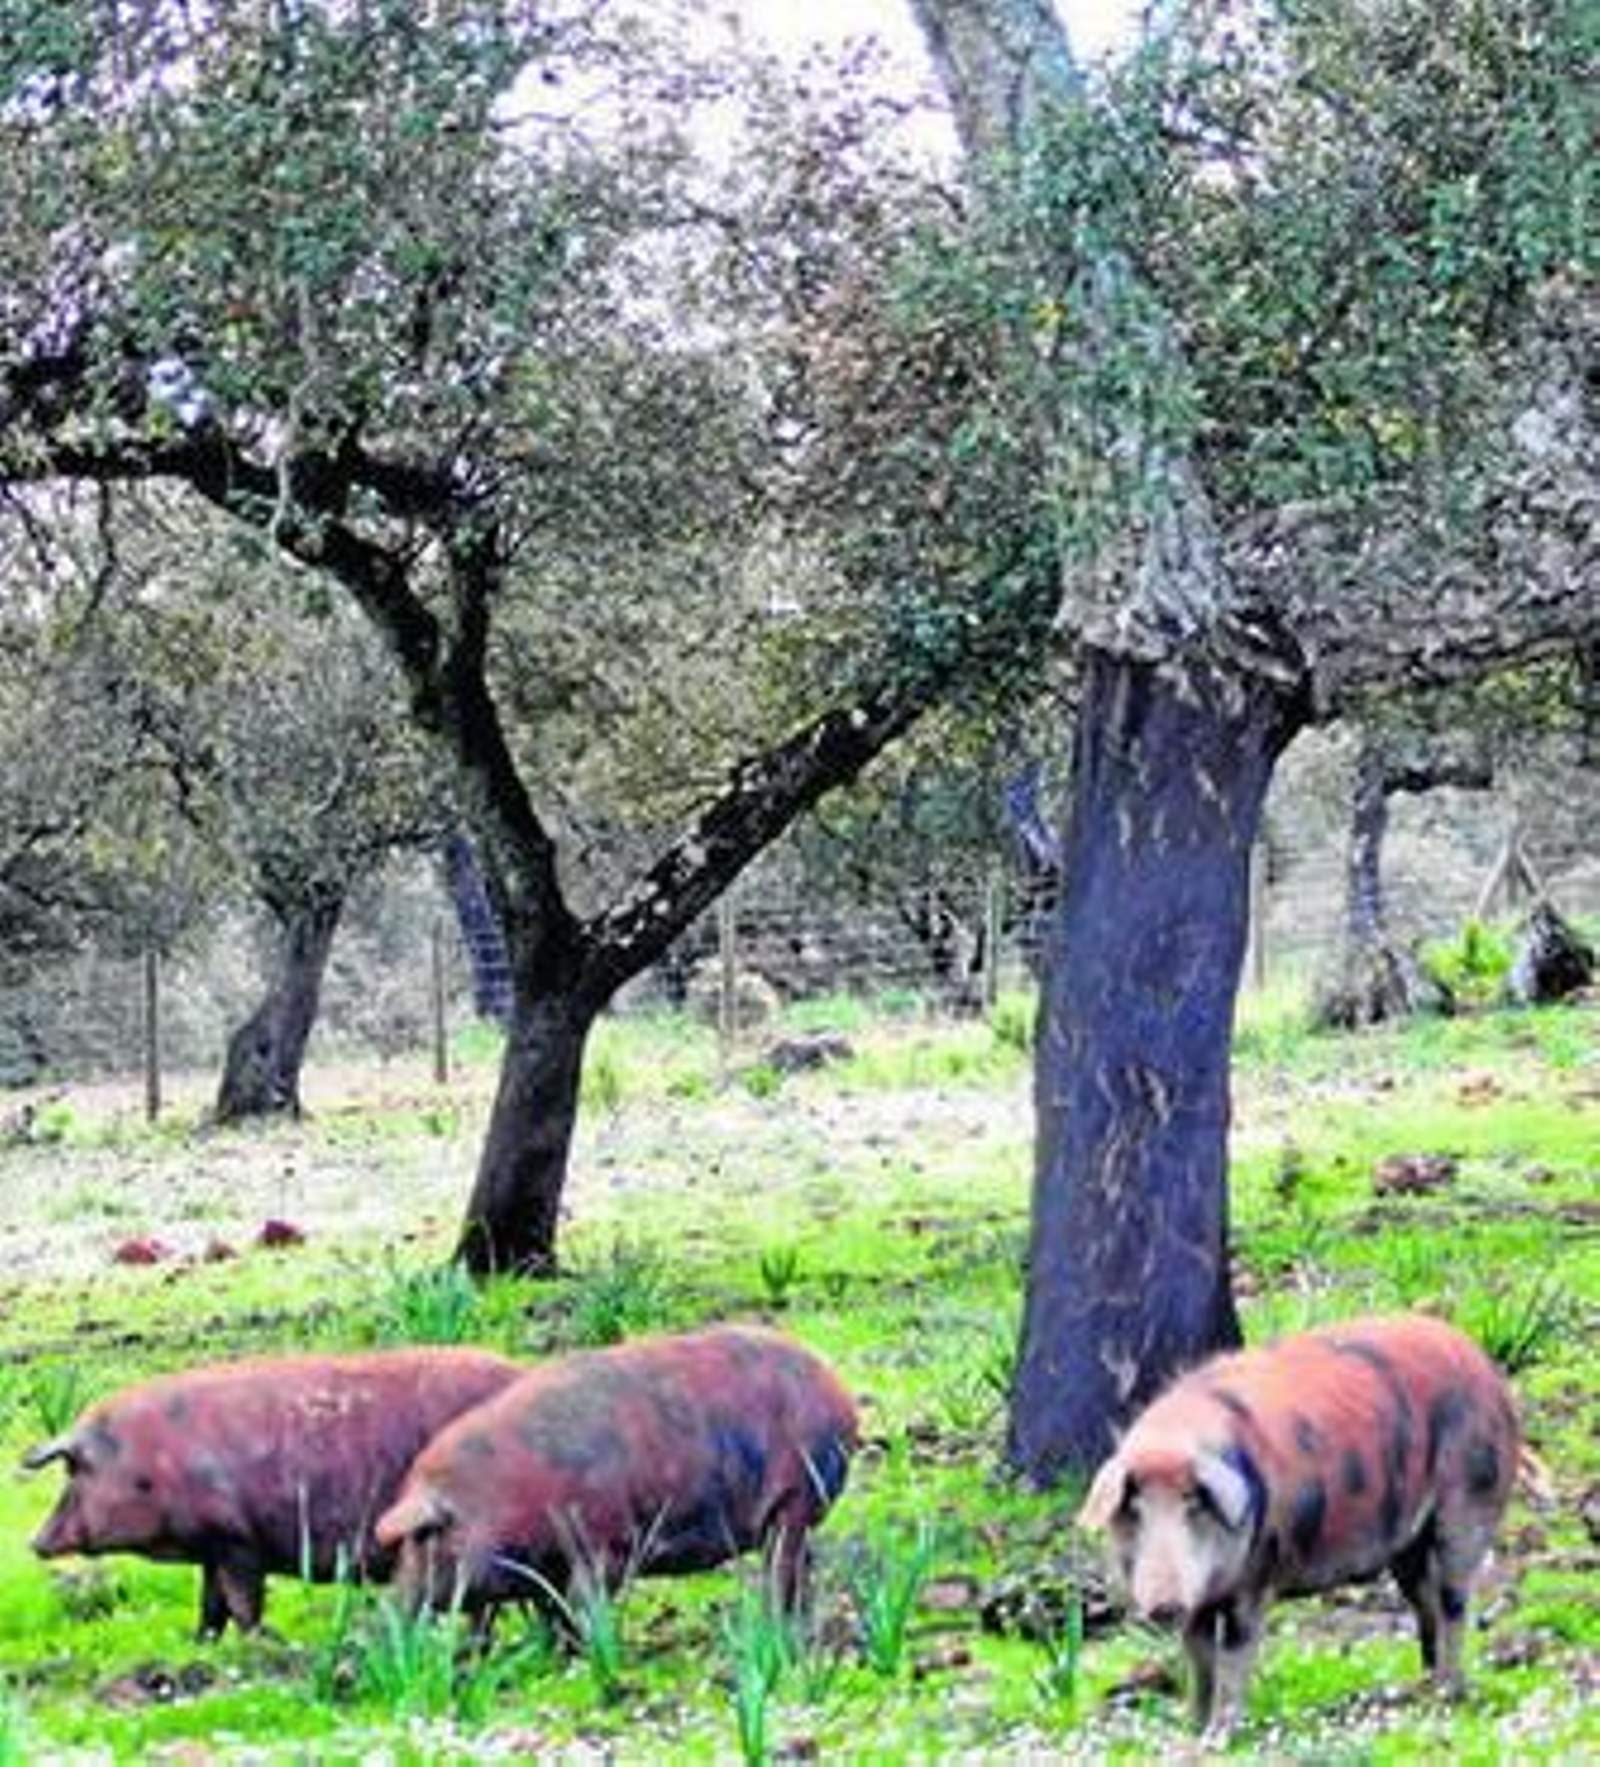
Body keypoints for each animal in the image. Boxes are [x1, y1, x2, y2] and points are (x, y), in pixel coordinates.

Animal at [23, 1347, 522, 1637]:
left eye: (73, 1468)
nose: (34, 1542)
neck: (149, 1462)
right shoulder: (212, 1549)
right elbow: (211, 1607)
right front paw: (201, 1645)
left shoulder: (236, 1540)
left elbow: (243, 1604)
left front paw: (261, 1645)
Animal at [373, 1324, 858, 1621]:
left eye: (424, 1539)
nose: (392, 1611)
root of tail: (837, 1390)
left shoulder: (607, 1540)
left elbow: (584, 1603)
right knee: (804, 1563)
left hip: (796, 1495)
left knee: (784, 1564)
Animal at [1078, 1314, 1520, 1738]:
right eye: (1134, 1508)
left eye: (1194, 1504)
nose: (1164, 1604)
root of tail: (1480, 1361)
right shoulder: (1199, 1601)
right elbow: (1200, 1661)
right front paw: (1192, 1730)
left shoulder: (1256, 1576)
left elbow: (1235, 1656)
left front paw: (1218, 1737)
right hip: (1407, 1544)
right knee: (1425, 1602)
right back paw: (1422, 1689)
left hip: (1470, 1499)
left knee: (1455, 1602)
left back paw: (1448, 1694)